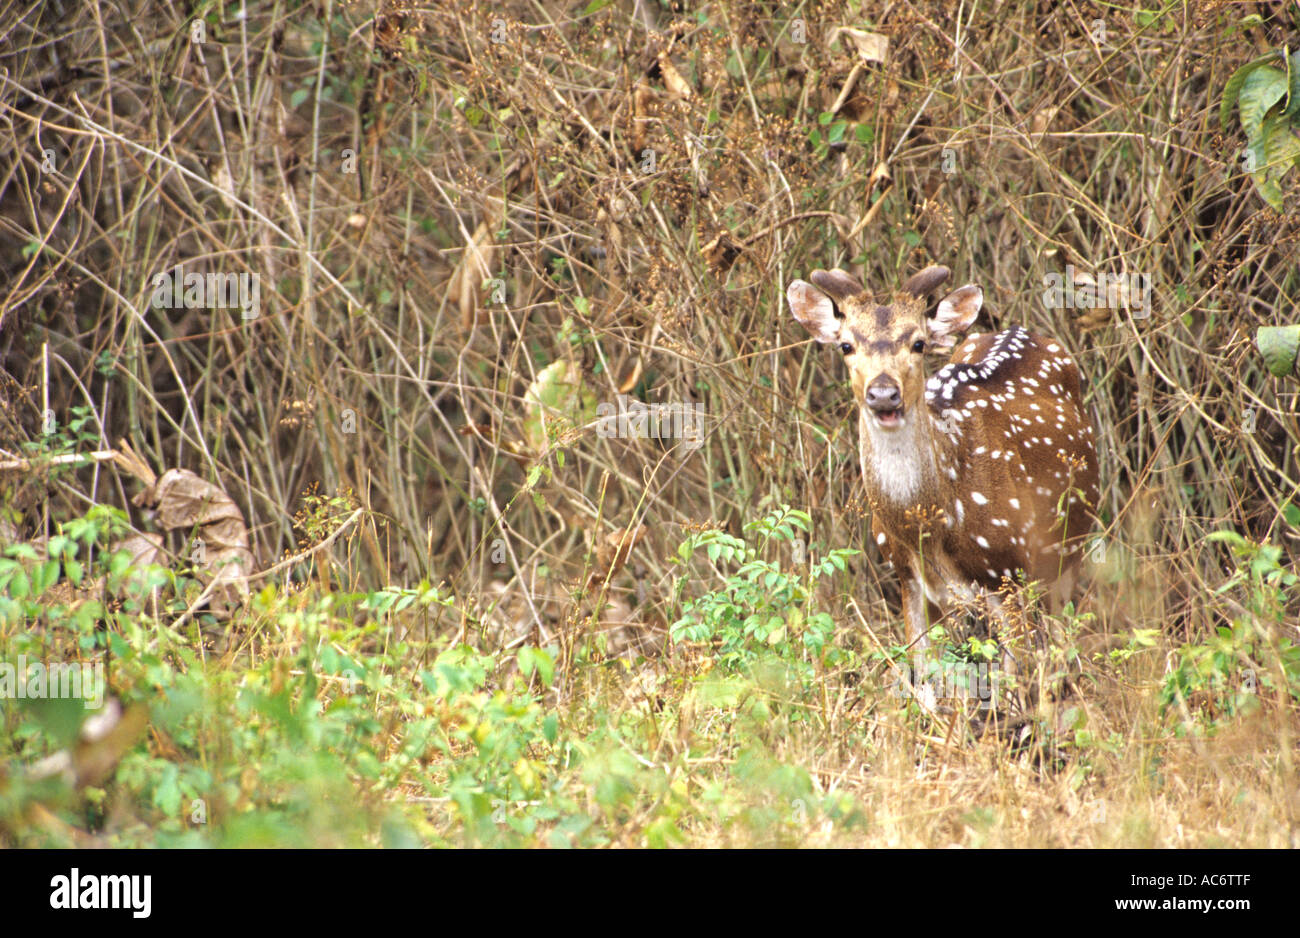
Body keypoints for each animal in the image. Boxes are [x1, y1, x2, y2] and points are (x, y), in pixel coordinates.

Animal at [785, 265, 1102, 670]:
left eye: (918, 343)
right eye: (846, 345)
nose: (883, 393)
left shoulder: (1008, 570)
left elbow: (1016, 675)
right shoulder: (907, 577)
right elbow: (924, 673)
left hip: (1068, 547)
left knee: (1062, 638)